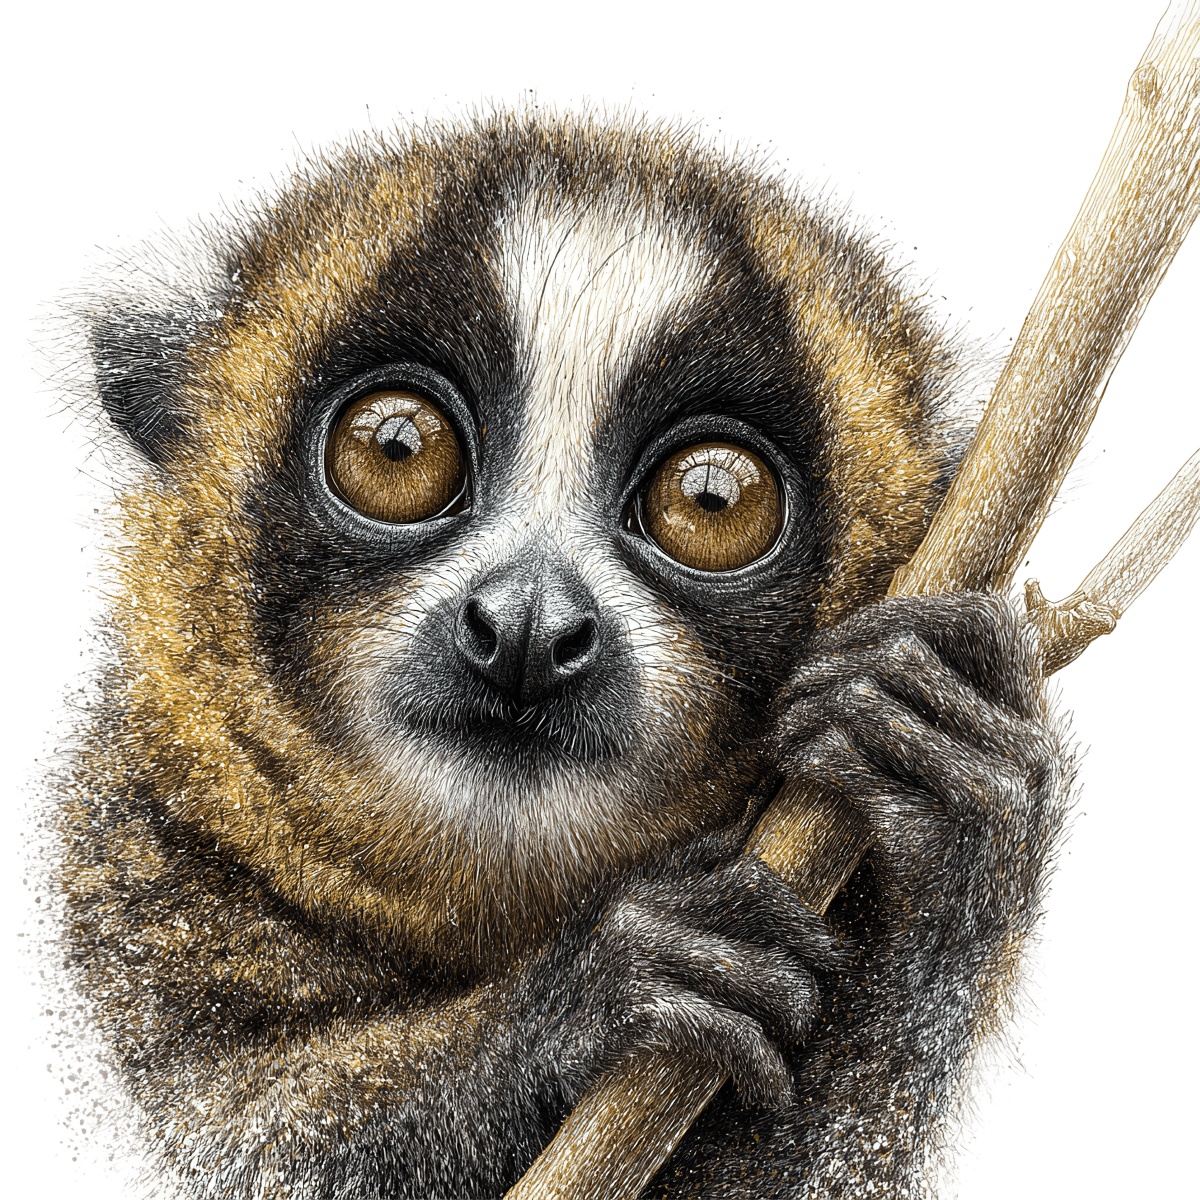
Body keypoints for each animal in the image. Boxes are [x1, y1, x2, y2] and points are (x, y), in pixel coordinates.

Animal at [58, 109, 1069, 1199]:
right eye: (395, 451)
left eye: (713, 501)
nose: (529, 631)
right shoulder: (123, 875)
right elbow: (238, 1141)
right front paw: (605, 995)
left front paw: (941, 767)